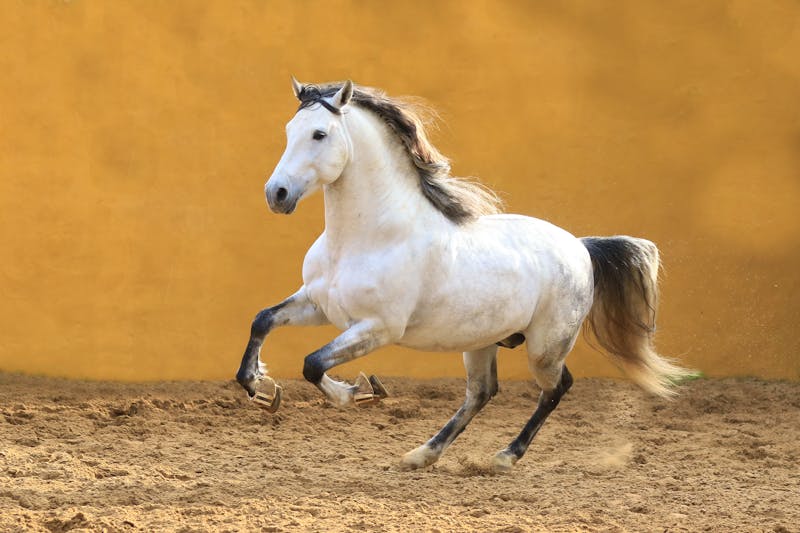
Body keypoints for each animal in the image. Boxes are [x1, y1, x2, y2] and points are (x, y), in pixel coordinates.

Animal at [236, 78, 692, 471]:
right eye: (289, 129)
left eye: (319, 134)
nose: (277, 194)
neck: (363, 239)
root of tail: (581, 248)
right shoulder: (317, 304)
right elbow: (262, 319)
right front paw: (259, 386)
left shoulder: (378, 327)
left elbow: (313, 363)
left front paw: (358, 393)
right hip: (481, 341)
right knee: (483, 392)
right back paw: (422, 454)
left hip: (545, 347)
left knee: (557, 387)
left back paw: (504, 457)